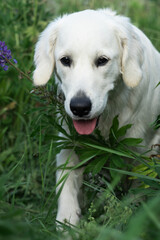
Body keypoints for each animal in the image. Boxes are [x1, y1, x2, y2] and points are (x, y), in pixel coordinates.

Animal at [33, 9, 160, 226]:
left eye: (102, 60)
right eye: (65, 60)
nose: (80, 107)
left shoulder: (141, 154)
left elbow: (137, 194)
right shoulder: (68, 143)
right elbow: (66, 189)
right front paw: (67, 225)